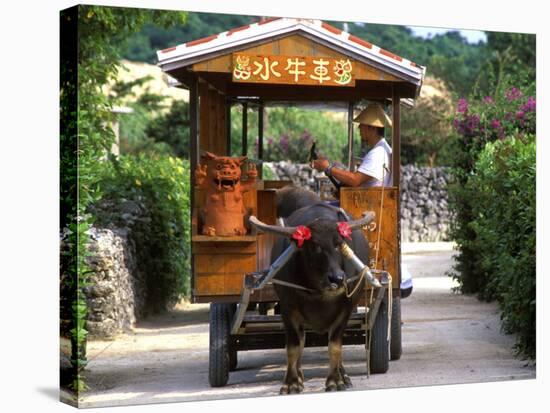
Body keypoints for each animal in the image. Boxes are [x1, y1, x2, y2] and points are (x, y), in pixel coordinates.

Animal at [249, 187, 376, 392]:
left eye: (338, 243)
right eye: (315, 246)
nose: (337, 278)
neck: (319, 294)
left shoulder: (346, 308)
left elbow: (335, 346)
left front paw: (336, 381)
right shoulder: (287, 308)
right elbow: (294, 347)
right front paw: (292, 383)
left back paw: (344, 375)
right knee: (301, 341)